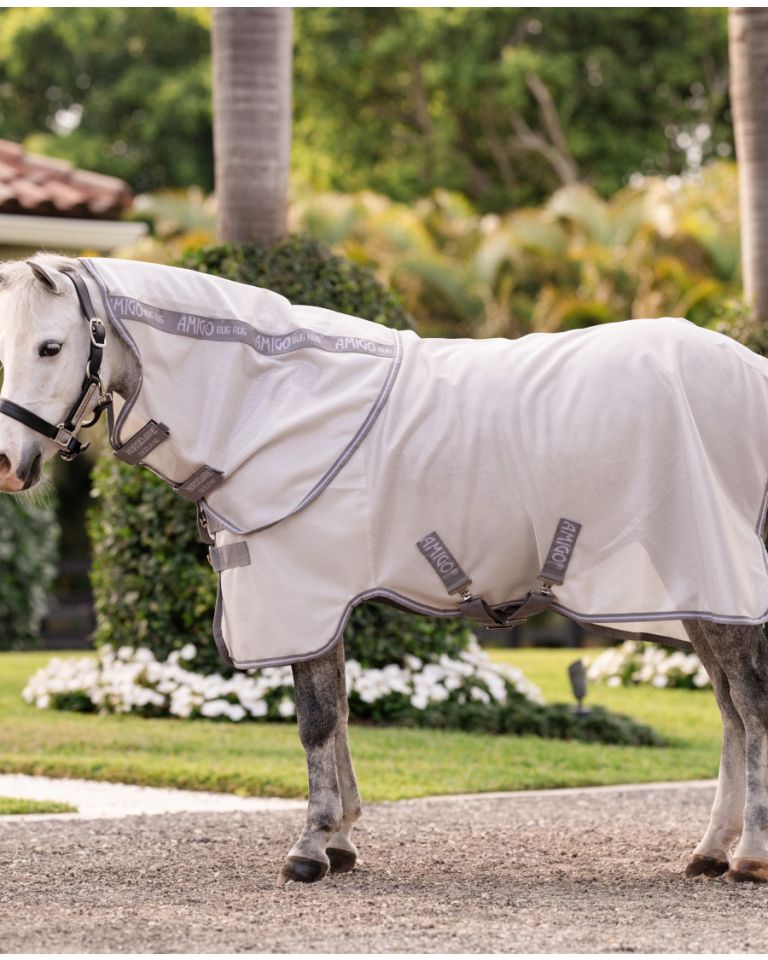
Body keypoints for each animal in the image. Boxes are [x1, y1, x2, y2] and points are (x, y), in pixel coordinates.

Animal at [0, 253, 767, 886]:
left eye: (51, 346)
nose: (9, 465)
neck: (274, 399)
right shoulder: (323, 604)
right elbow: (337, 713)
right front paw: (340, 842)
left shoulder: (301, 596)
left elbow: (314, 721)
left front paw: (310, 849)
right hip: (701, 598)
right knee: (731, 712)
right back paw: (709, 851)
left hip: (720, 585)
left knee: (751, 708)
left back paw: (749, 858)